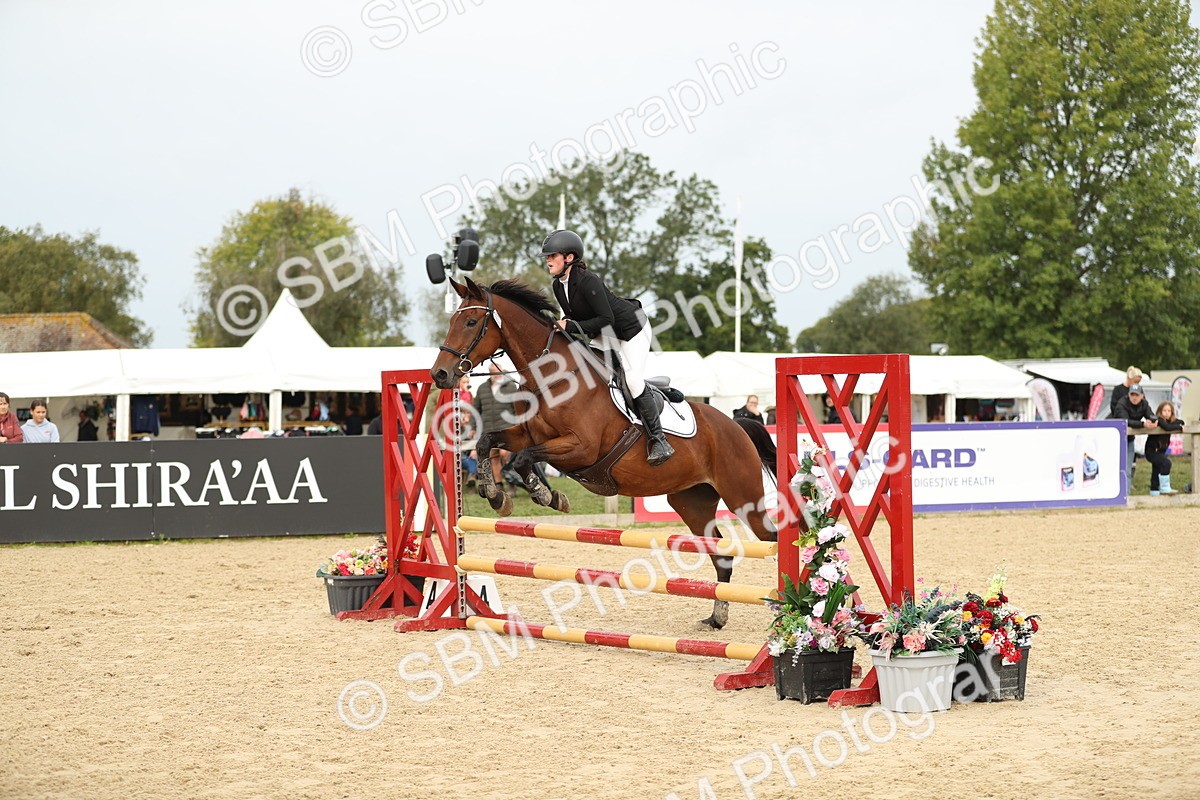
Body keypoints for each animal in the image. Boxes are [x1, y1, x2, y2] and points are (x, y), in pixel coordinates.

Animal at [430, 276, 778, 629]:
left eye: (471, 322)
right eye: (453, 321)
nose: (439, 375)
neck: (553, 379)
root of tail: (737, 425)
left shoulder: (580, 447)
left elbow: (525, 458)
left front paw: (545, 495)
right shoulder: (526, 434)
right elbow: (488, 442)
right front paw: (496, 494)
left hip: (743, 496)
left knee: (772, 539)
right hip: (692, 502)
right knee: (722, 555)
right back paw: (717, 618)